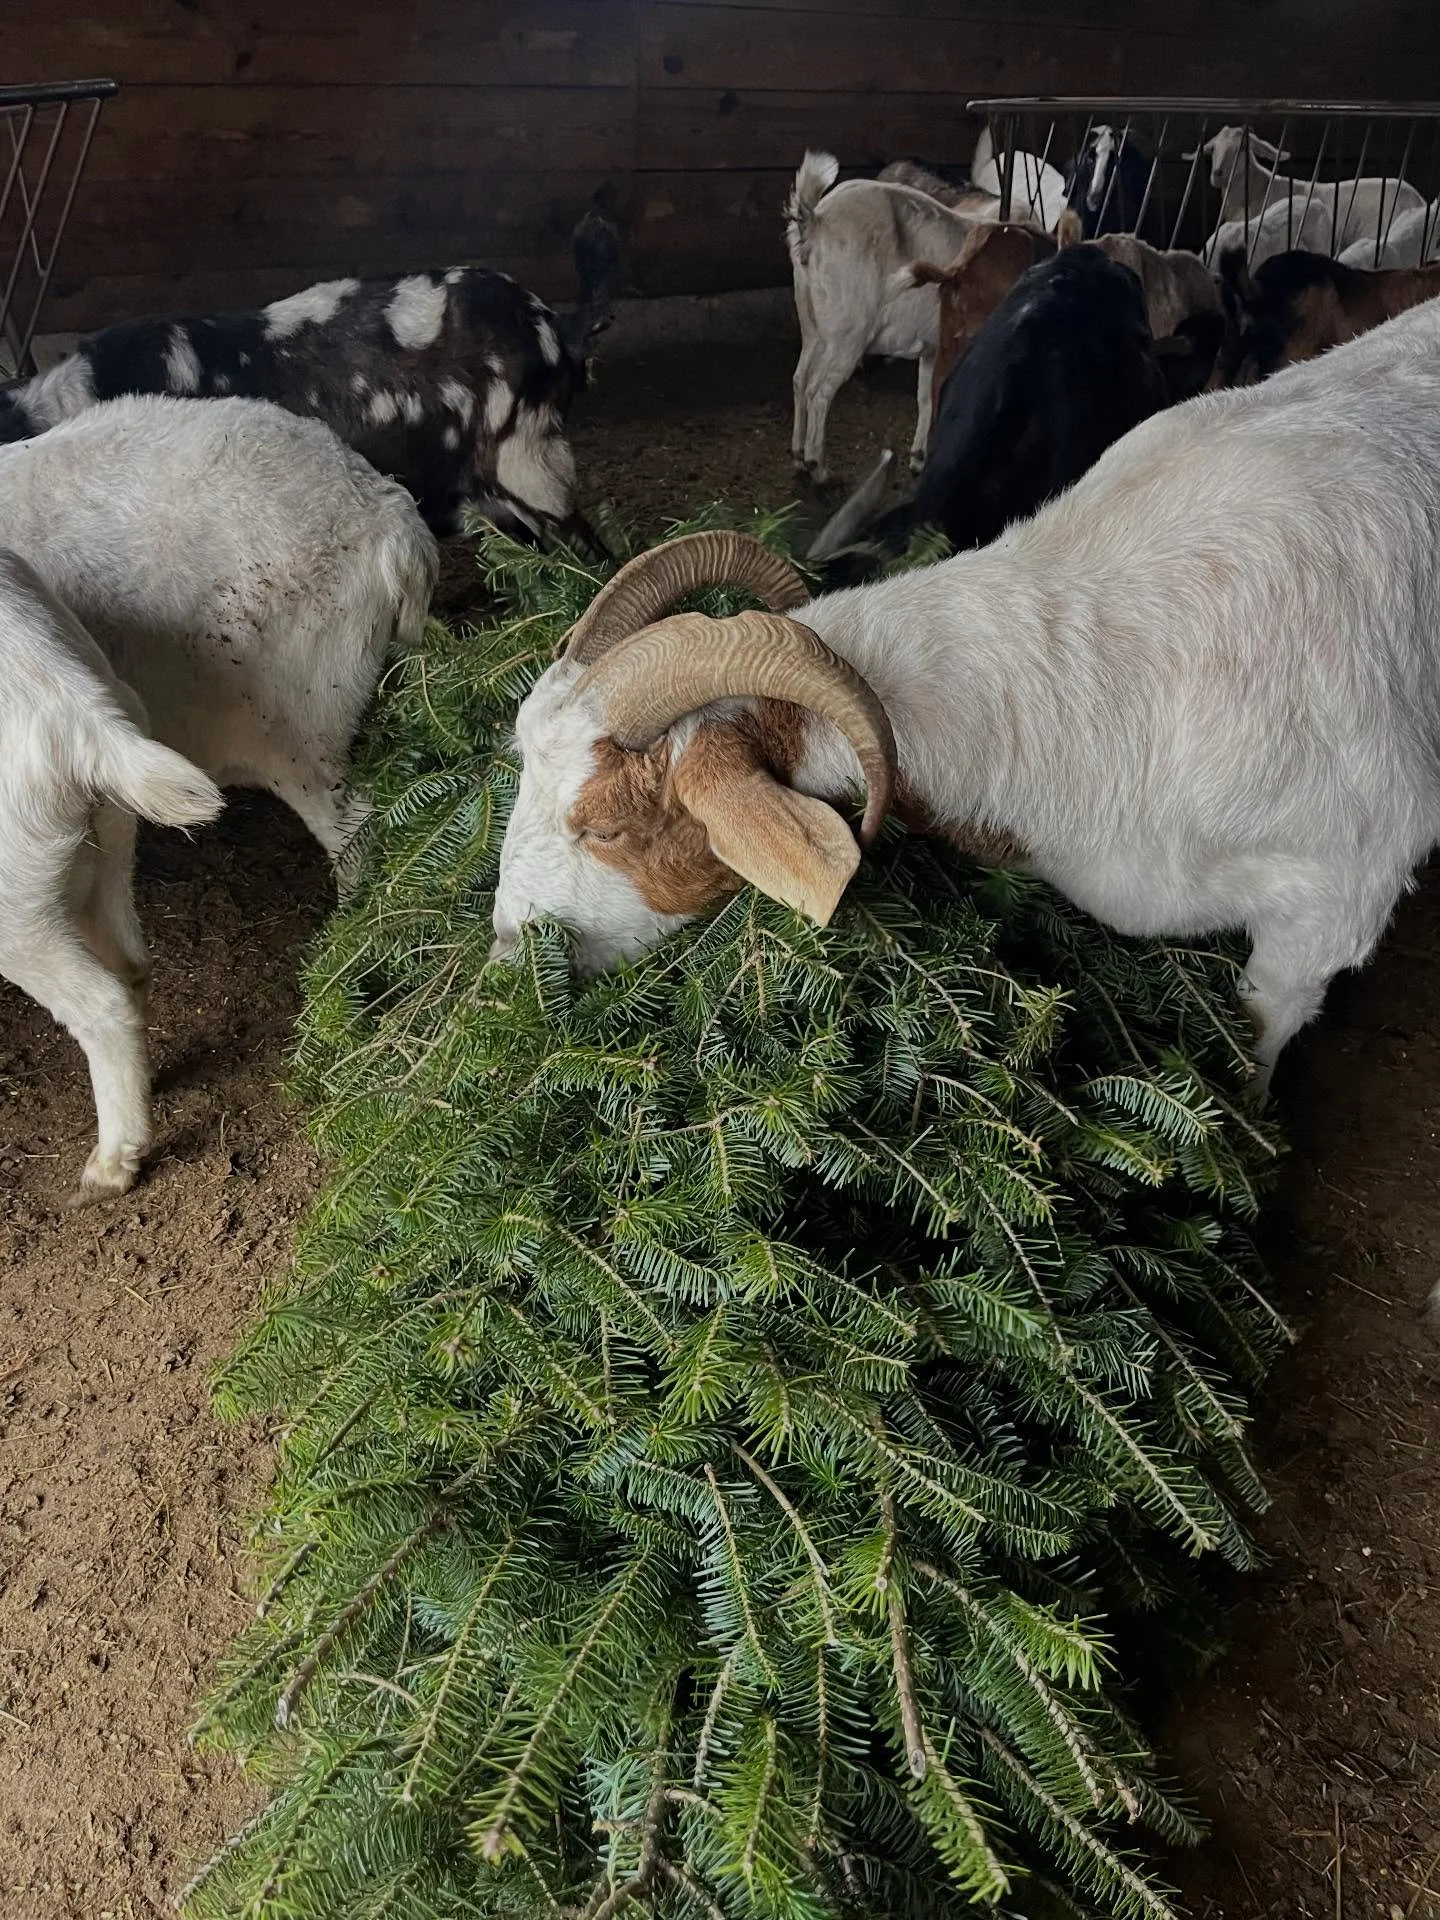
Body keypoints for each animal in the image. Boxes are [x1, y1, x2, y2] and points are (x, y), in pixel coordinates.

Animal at [0, 549, 223, 1197]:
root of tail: (83, 718)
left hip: (13, 900)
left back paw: (108, 1170)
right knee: (131, 964)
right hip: (108, 840)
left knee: (101, 1002)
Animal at [785, 151, 978, 481]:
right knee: (818, 391)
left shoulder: (933, 348)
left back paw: (799, 457)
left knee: (800, 379)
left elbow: (926, 398)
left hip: (813, 324)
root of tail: (816, 221)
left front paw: (919, 458)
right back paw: (818, 467)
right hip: (849, 331)